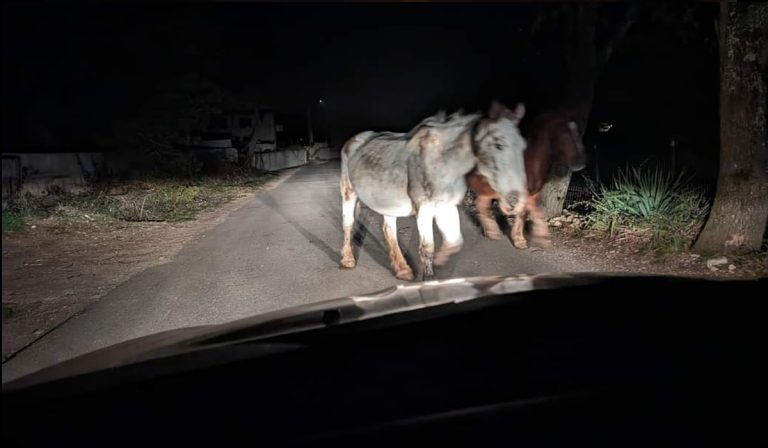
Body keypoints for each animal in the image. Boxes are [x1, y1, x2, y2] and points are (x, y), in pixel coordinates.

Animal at [340, 101, 528, 281]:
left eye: (522, 146)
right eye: (499, 144)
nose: (516, 199)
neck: (445, 162)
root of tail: (353, 140)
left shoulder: (447, 206)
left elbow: (454, 241)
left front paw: (439, 262)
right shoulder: (425, 208)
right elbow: (427, 248)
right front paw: (429, 279)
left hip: (387, 201)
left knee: (389, 229)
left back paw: (403, 270)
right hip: (349, 193)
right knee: (348, 224)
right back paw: (348, 259)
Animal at [466, 111, 586, 248]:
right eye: (566, 134)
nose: (581, 162)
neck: (531, 162)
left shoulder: (532, 193)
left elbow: (530, 212)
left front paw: (537, 237)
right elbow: (525, 212)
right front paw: (522, 239)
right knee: (481, 203)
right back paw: (492, 231)